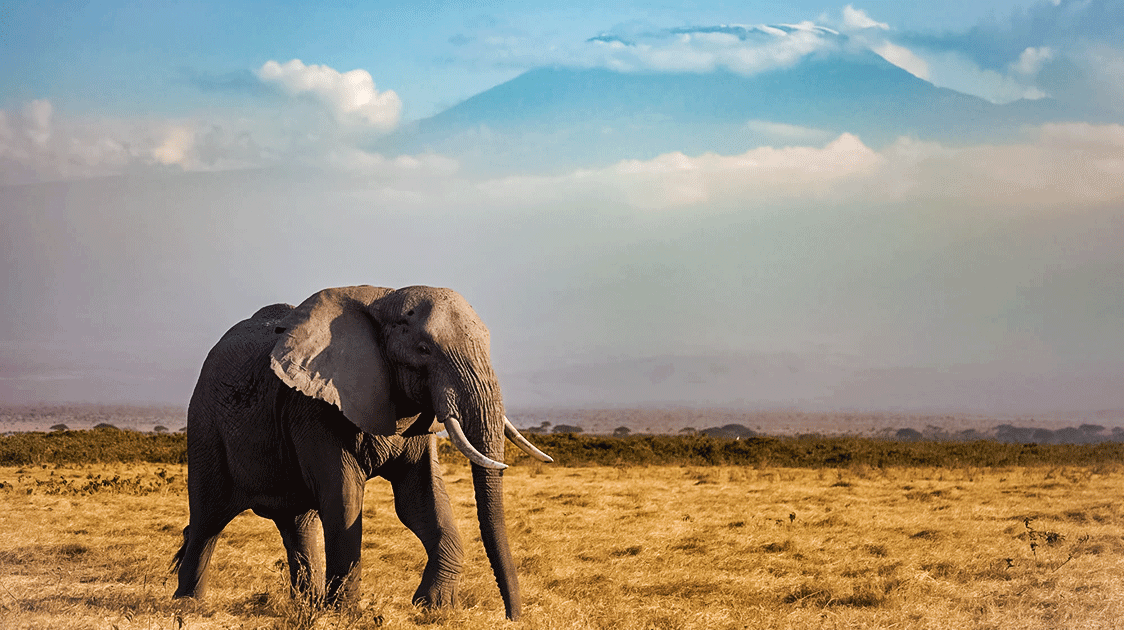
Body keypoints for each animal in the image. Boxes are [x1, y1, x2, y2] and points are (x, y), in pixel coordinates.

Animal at [169, 285, 548, 621]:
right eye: (424, 349)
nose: (513, 616)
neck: (385, 300)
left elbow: (421, 501)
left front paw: (435, 607)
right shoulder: (316, 407)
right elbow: (344, 498)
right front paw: (344, 615)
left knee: (297, 524)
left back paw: (304, 605)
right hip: (205, 424)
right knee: (208, 519)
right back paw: (187, 604)